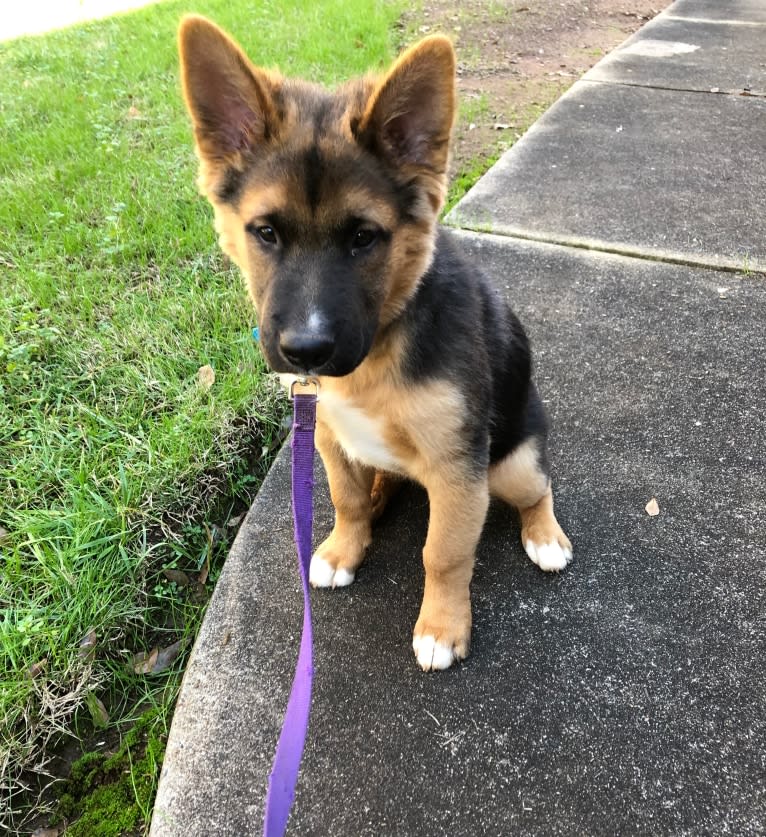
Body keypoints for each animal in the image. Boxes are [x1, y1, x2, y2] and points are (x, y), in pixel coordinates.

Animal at [180, 18, 572, 672]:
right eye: (266, 232)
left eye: (364, 237)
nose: (306, 352)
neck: (378, 352)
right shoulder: (328, 433)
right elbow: (347, 500)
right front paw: (345, 548)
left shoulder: (457, 470)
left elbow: (444, 553)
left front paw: (441, 628)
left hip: (510, 464)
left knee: (537, 489)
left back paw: (545, 537)